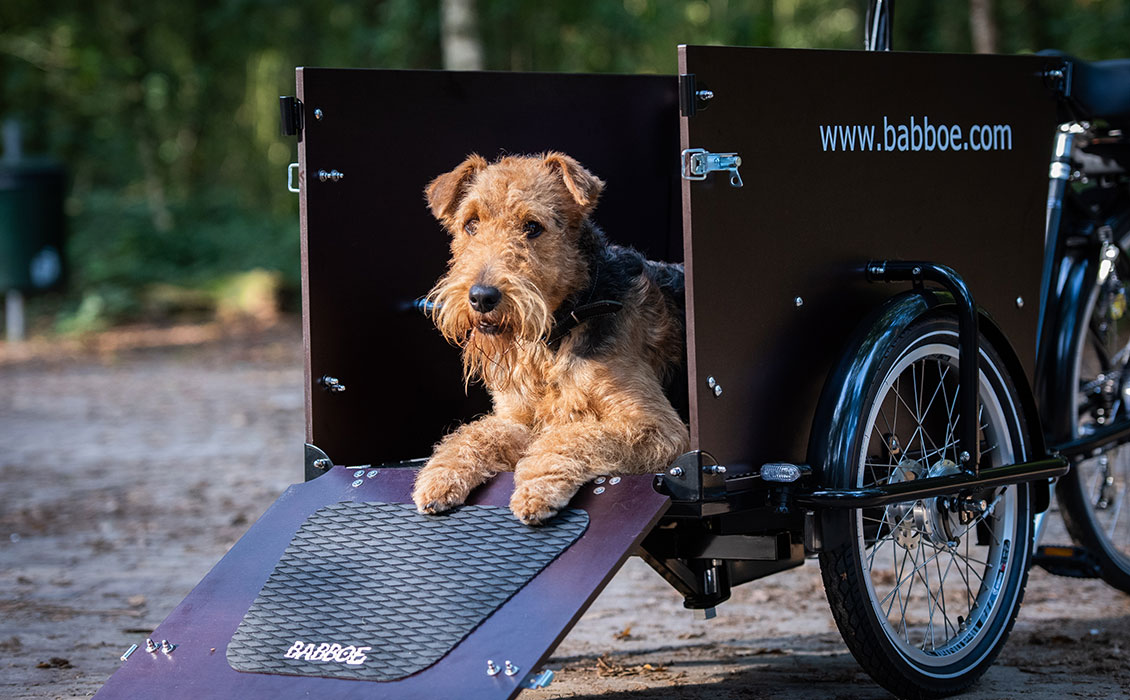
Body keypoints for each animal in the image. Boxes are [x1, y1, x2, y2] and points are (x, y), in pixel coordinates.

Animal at [411, 153, 682, 524]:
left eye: (532, 226)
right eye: (471, 223)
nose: (481, 297)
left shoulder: (659, 428)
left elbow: (570, 435)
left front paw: (536, 488)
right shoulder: (518, 419)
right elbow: (476, 434)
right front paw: (439, 477)